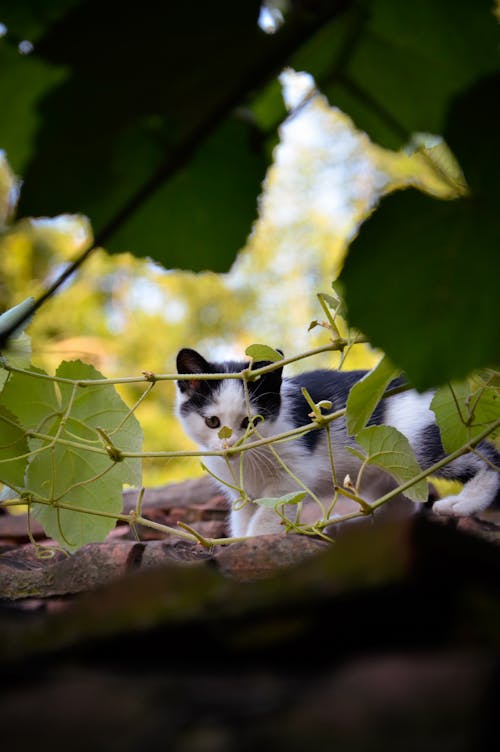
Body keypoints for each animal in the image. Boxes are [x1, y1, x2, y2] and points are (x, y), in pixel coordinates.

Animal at [176, 350, 500, 536]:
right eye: (213, 422)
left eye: (251, 423)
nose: (230, 448)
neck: (251, 458)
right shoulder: (244, 491)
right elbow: (243, 516)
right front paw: (241, 538)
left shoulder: (293, 472)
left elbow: (272, 511)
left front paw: (258, 537)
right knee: (398, 502)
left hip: (418, 441)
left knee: (483, 456)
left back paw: (463, 503)